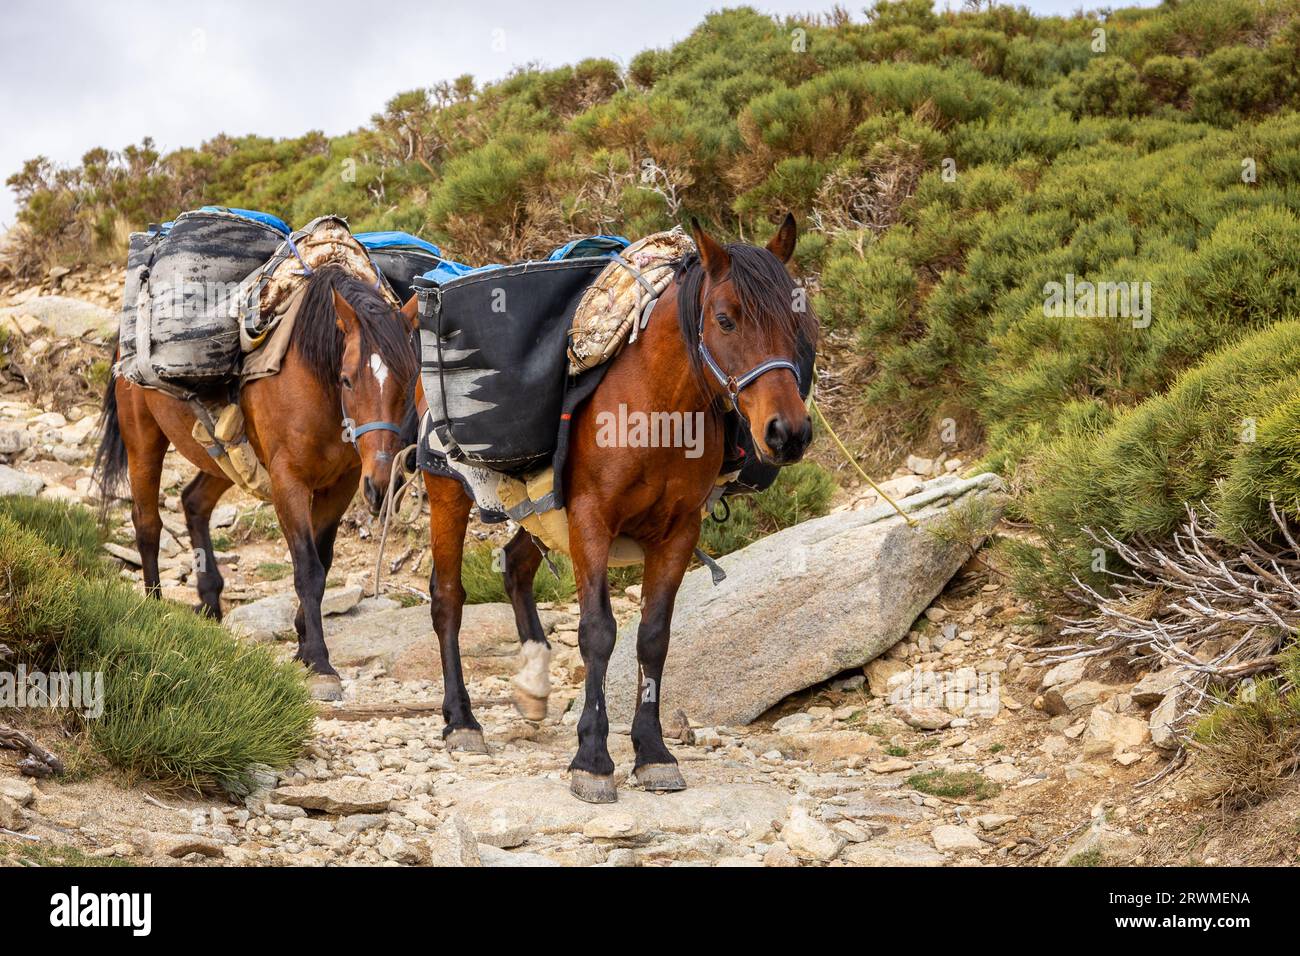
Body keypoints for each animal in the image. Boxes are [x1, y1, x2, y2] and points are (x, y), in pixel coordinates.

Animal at [94, 264, 420, 701]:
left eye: (411, 379)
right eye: (348, 379)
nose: (382, 485)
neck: (316, 382)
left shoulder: (343, 484)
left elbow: (323, 562)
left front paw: (302, 642)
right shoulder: (289, 483)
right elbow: (307, 568)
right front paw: (319, 662)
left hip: (225, 457)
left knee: (193, 501)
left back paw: (210, 600)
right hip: (142, 439)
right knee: (147, 523)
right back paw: (155, 607)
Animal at [418, 214, 816, 802]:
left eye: (799, 321)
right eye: (725, 319)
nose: (788, 434)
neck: (657, 411)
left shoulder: (677, 532)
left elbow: (653, 637)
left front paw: (653, 753)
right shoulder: (590, 521)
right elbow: (598, 632)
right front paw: (592, 758)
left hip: (540, 512)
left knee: (515, 567)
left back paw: (532, 679)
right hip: (448, 490)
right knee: (447, 598)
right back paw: (462, 721)